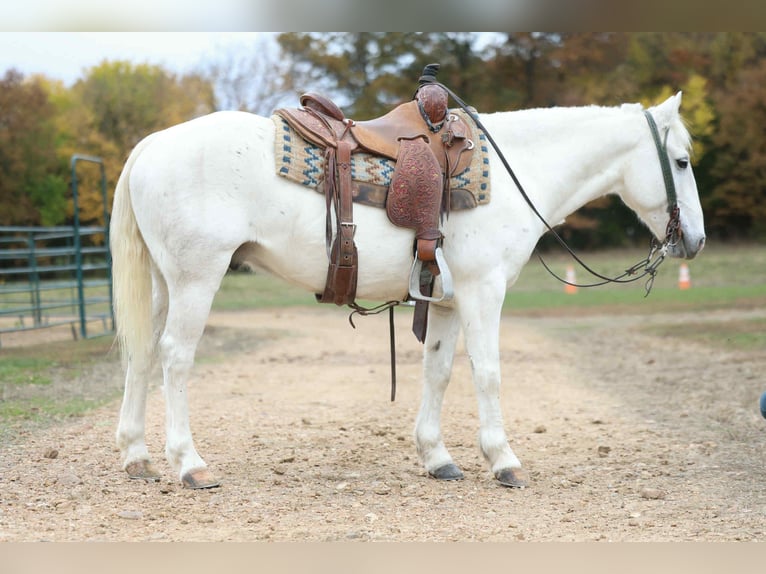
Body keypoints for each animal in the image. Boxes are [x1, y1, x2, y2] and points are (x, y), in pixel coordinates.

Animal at [110, 92, 706, 489]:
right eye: (680, 161)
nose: (694, 240)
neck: (515, 174)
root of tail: (149, 146)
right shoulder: (483, 291)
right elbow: (488, 372)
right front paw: (503, 460)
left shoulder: (446, 300)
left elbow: (437, 372)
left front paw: (437, 457)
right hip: (196, 278)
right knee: (175, 358)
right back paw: (189, 464)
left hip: (163, 286)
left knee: (142, 355)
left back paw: (137, 456)